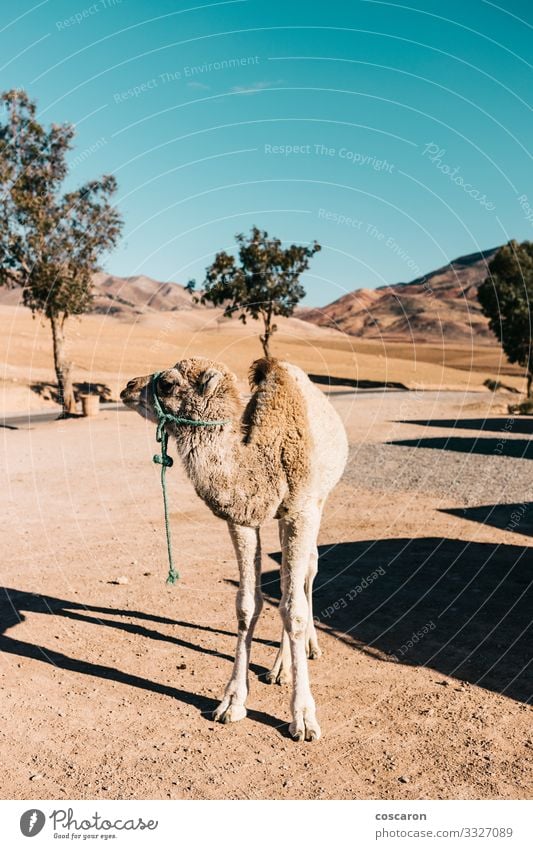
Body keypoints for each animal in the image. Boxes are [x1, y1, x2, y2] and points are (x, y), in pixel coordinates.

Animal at [119, 358, 350, 744]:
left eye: (167, 384)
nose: (127, 387)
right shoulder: (242, 520)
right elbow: (246, 605)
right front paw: (231, 702)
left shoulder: (302, 510)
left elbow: (294, 610)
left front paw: (303, 718)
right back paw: (280, 669)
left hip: (319, 501)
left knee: (306, 574)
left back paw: (309, 649)